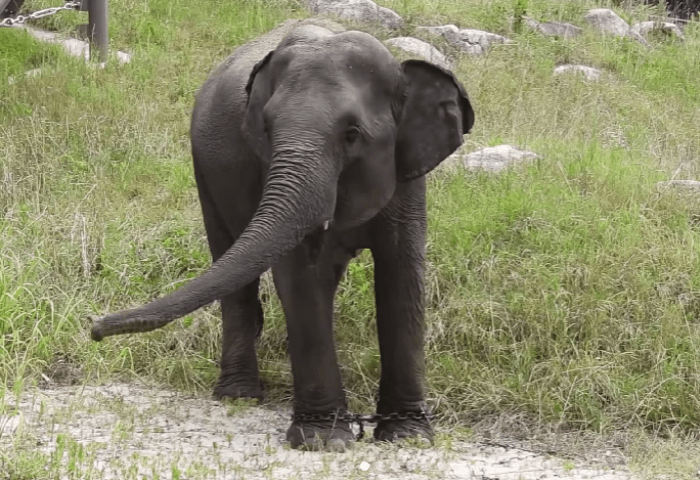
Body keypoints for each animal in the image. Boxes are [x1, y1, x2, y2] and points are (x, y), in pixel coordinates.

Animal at [91, 18, 476, 452]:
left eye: (352, 134)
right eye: (267, 128)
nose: (94, 328)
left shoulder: (407, 174)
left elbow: (402, 274)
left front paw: (408, 437)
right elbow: (300, 277)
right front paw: (323, 441)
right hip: (204, 171)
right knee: (230, 263)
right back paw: (239, 396)